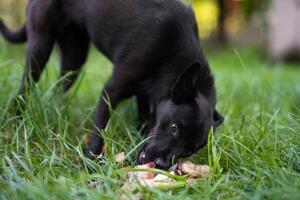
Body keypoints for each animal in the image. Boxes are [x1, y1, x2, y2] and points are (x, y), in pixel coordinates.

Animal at [0, 0, 224, 169]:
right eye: (174, 127)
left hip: (74, 58)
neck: (171, 54)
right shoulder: (111, 91)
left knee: (59, 88)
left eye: (189, 151)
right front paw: (89, 165)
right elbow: (98, 132)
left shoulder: (145, 97)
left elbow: (144, 122)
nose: (161, 165)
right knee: (25, 88)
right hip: (40, 47)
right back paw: (17, 119)